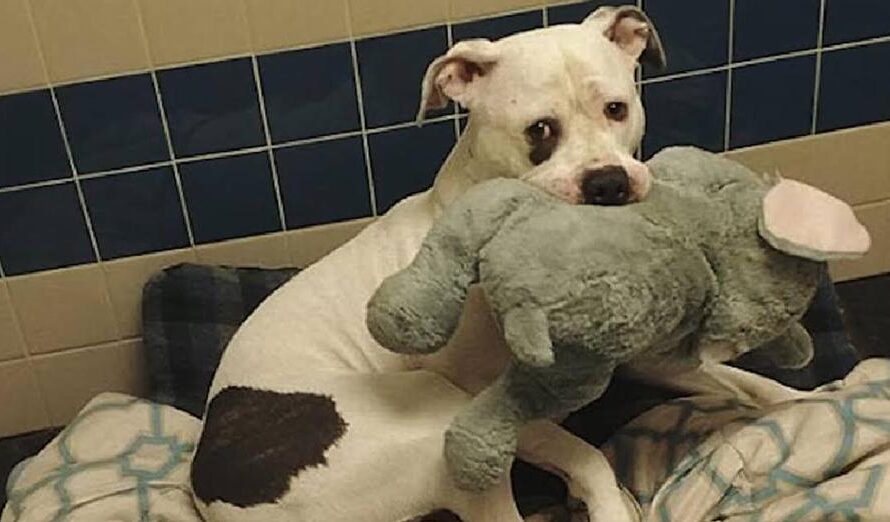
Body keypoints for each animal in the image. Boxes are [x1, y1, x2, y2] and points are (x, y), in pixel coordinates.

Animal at [194, 8, 664, 520]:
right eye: (539, 129)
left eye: (616, 109)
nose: (608, 183)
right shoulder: (494, 403)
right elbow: (585, 455)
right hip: (440, 419)